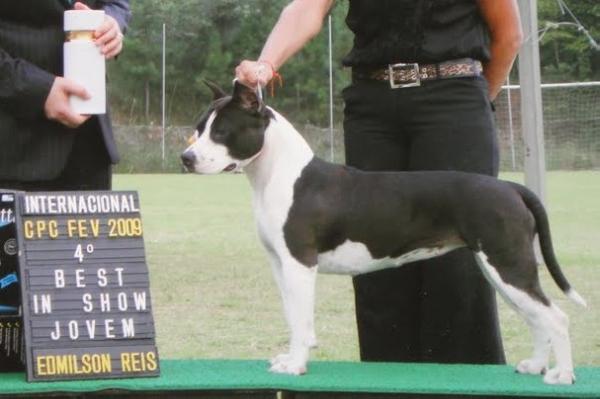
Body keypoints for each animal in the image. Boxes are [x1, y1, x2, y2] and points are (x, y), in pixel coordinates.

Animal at [182, 81, 584, 384]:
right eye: (197, 129)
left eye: (221, 132)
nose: (186, 158)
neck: (279, 173)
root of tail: (511, 188)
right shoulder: (281, 266)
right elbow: (294, 317)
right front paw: (291, 357)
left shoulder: (300, 264)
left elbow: (301, 317)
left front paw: (296, 366)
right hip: (500, 268)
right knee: (536, 317)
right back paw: (535, 366)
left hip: (508, 264)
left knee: (556, 317)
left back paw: (562, 376)